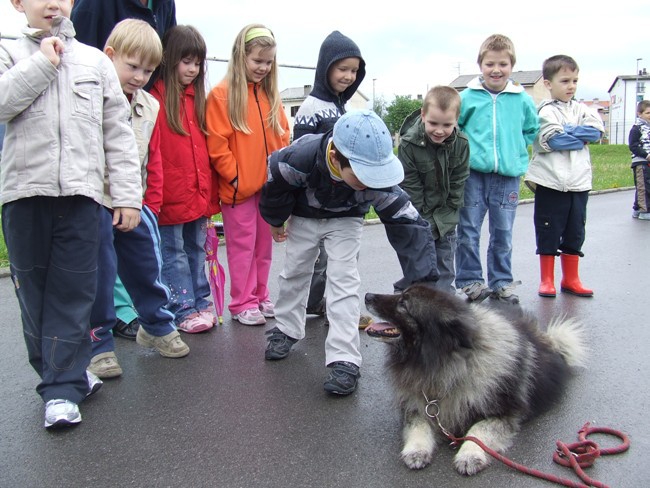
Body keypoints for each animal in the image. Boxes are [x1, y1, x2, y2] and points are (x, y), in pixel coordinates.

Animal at [364, 284, 584, 474]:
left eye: (404, 303)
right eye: (401, 295)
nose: (367, 295)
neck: (444, 363)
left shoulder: (505, 413)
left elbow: (478, 429)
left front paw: (469, 455)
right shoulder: (418, 404)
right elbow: (418, 425)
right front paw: (416, 450)